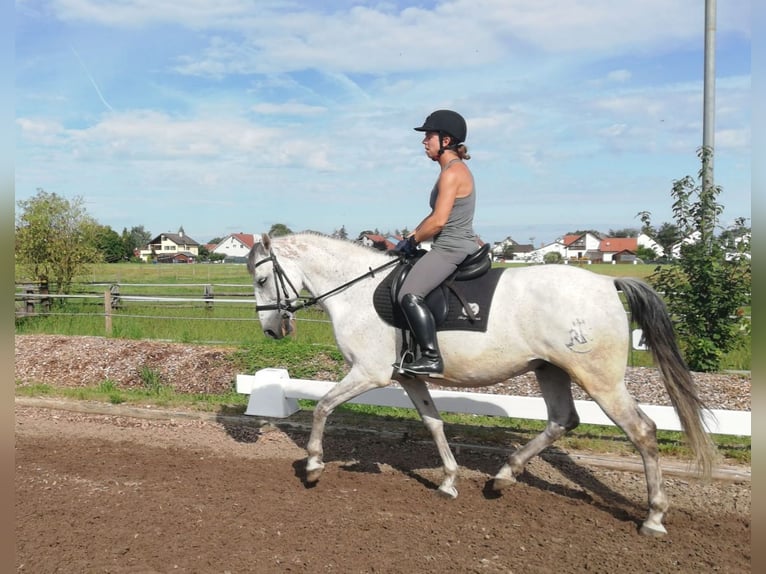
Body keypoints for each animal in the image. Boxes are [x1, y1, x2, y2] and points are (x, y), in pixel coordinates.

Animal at [248, 232, 720, 536]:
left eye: (261, 279)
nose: (271, 330)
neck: (356, 292)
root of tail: (607, 283)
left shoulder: (369, 372)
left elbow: (323, 407)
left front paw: (312, 466)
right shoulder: (407, 376)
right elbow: (434, 424)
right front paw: (449, 480)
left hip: (598, 378)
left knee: (642, 430)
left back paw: (653, 518)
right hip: (549, 369)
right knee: (562, 420)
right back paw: (503, 476)